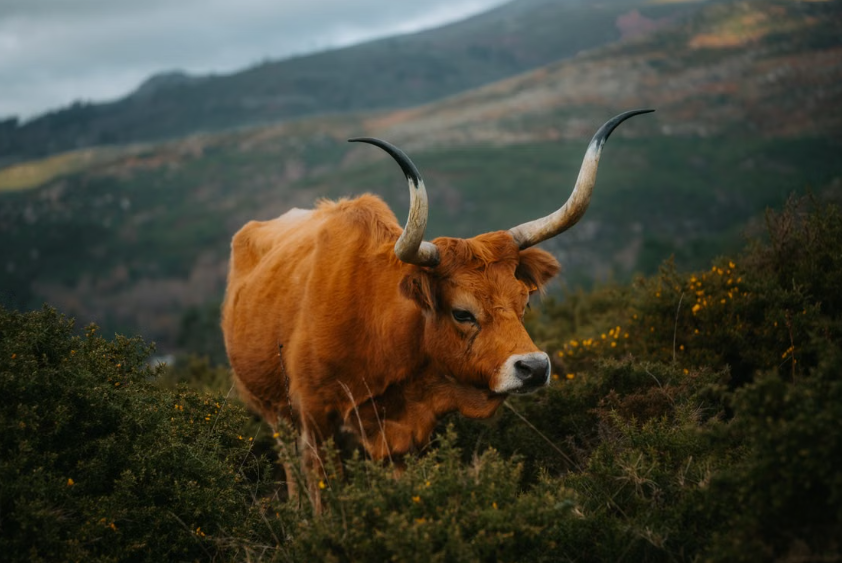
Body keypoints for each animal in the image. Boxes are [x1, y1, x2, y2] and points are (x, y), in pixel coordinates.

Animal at [221, 109, 653, 501]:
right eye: (462, 312)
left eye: (524, 302)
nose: (534, 368)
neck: (376, 329)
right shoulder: (314, 421)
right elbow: (324, 498)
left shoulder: (404, 440)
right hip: (275, 416)